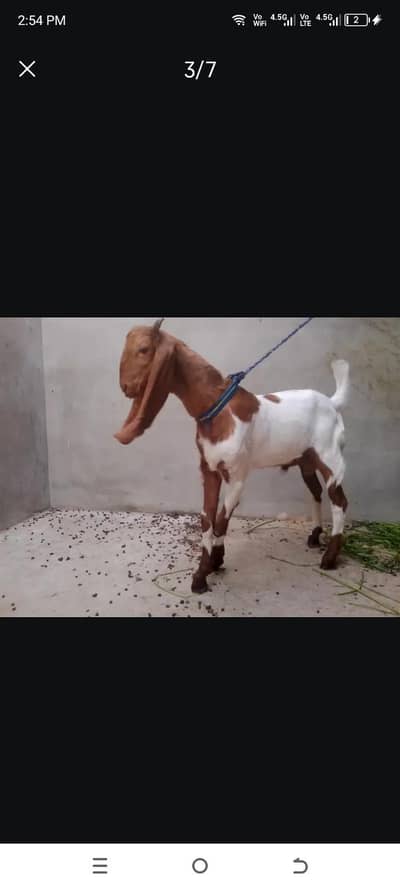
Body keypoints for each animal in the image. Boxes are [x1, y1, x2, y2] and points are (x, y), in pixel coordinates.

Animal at [115, 320, 350, 594]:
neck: (218, 409)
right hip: (306, 461)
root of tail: (332, 403)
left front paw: (208, 570)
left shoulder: (237, 476)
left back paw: (330, 558)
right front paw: (207, 568)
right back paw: (314, 536)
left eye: (143, 349)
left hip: (330, 458)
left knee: (339, 500)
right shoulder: (209, 470)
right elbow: (207, 520)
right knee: (316, 492)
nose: (126, 388)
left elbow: (220, 521)